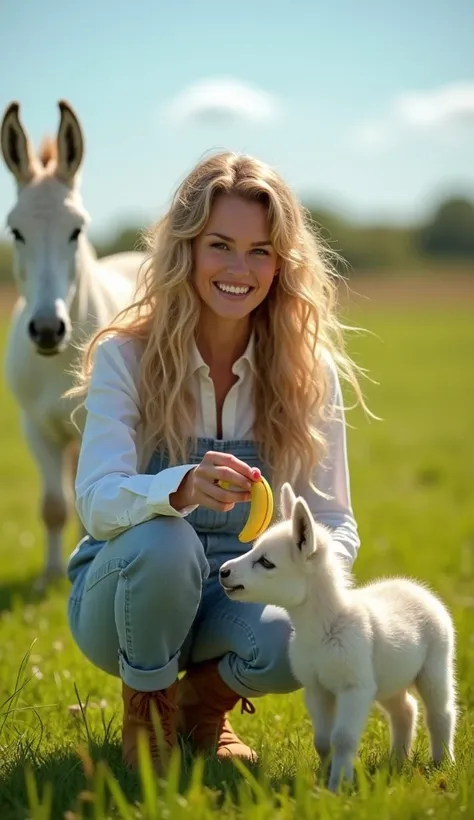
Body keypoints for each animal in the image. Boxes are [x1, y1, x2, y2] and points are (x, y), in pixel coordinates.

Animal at [0, 101, 144, 588]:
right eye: (16, 231)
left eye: (76, 230)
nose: (47, 329)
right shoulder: (36, 428)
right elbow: (53, 507)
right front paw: (48, 578)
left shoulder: (89, 432)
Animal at [218, 484, 456, 792]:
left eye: (266, 562)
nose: (223, 571)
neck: (323, 630)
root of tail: (414, 588)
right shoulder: (317, 689)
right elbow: (322, 740)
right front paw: (323, 779)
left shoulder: (353, 688)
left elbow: (342, 738)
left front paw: (338, 787)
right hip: (387, 680)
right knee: (405, 709)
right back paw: (396, 760)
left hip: (434, 667)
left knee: (440, 713)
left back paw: (443, 762)